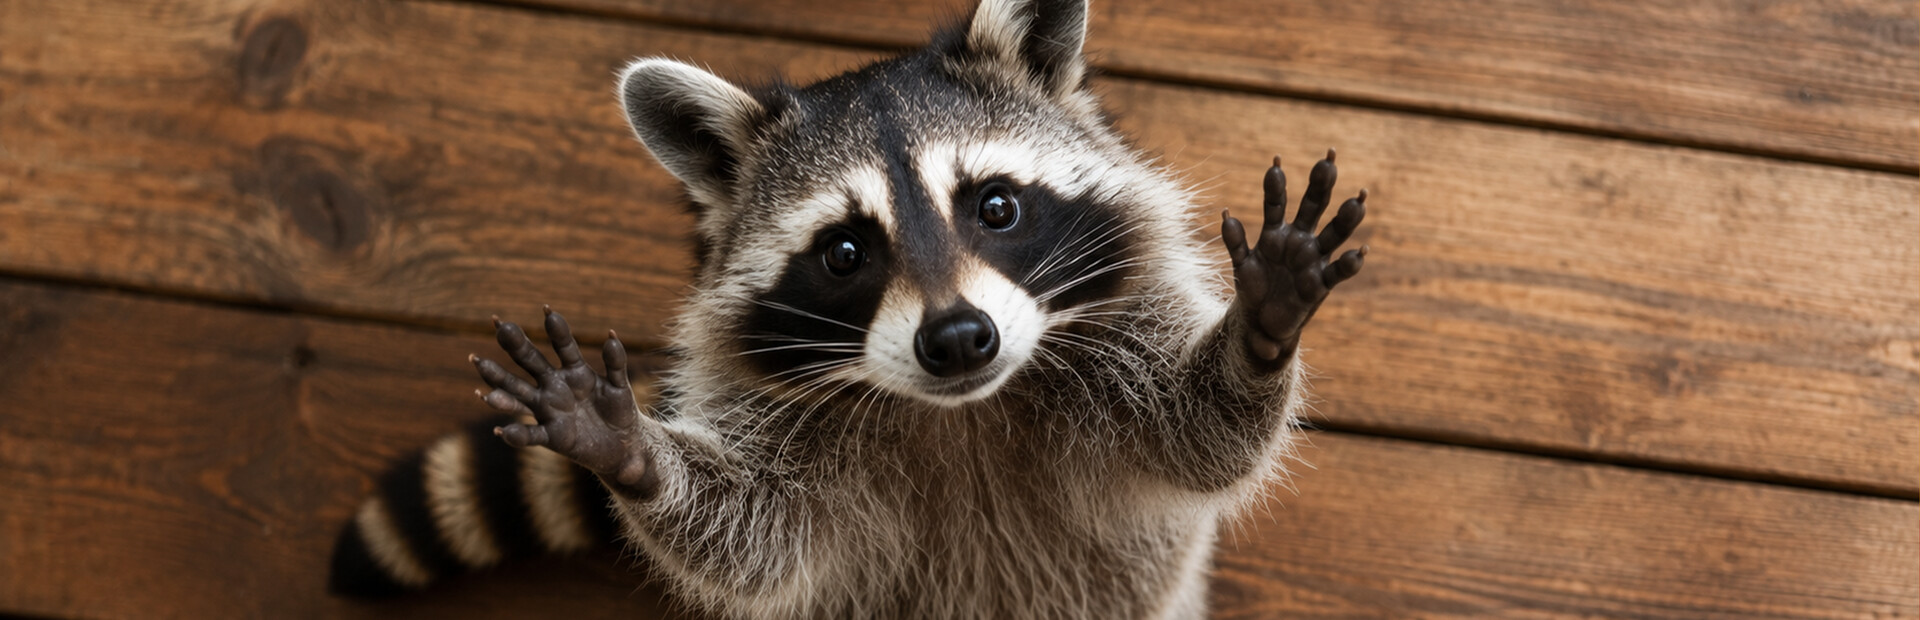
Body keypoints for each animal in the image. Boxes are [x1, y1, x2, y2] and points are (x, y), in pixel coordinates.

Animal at [327, 0, 1369, 616]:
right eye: (844, 253)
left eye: (996, 207)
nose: (960, 339)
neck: (961, 412)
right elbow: (751, 534)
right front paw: (631, 454)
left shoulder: (1120, 329)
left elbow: (1196, 437)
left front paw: (1258, 331)